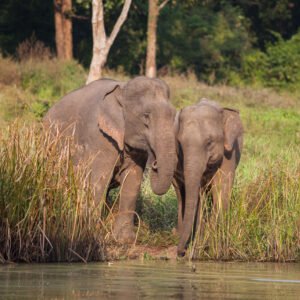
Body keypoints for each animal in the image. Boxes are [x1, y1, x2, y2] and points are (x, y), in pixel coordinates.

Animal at [43, 77, 177, 244]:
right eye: (146, 116)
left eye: (174, 115)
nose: (155, 162)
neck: (122, 89)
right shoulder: (99, 138)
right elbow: (98, 181)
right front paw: (91, 235)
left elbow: (132, 181)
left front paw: (125, 240)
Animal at [173, 98, 244, 255]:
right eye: (180, 143)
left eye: (209, 142)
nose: (181, 252)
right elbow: (197, 195)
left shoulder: (228, 151)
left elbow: (221, 191)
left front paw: (210, 242)